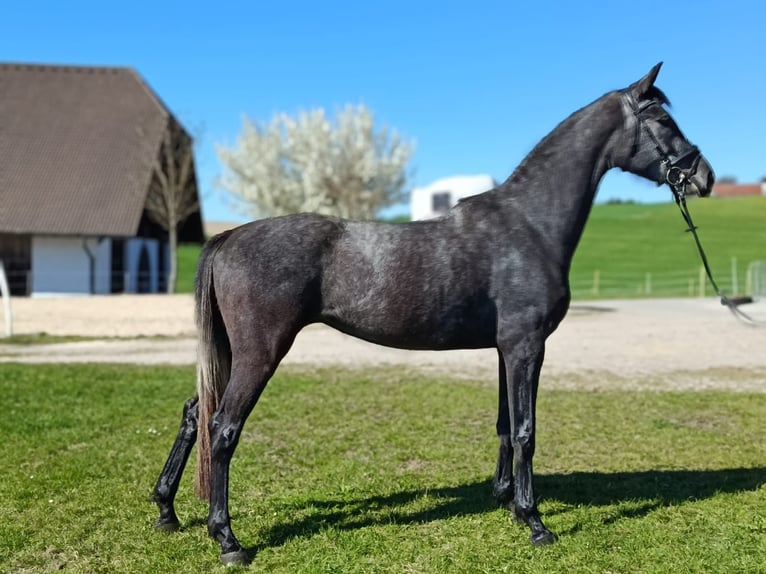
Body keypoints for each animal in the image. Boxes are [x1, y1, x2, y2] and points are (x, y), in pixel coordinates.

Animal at [151, 62, 715, 565]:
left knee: (195, 412)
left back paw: (166, 511)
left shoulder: (506, 349)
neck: (529, 225)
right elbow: (527, 430)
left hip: (231, 353)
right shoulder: (527, 346)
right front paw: (535, 522)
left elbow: (505, 424)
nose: (704, 177)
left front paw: (506, 501)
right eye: (662, 119)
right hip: (260, 352)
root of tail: (229, 237)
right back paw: (227, 540)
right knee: (223, 427)